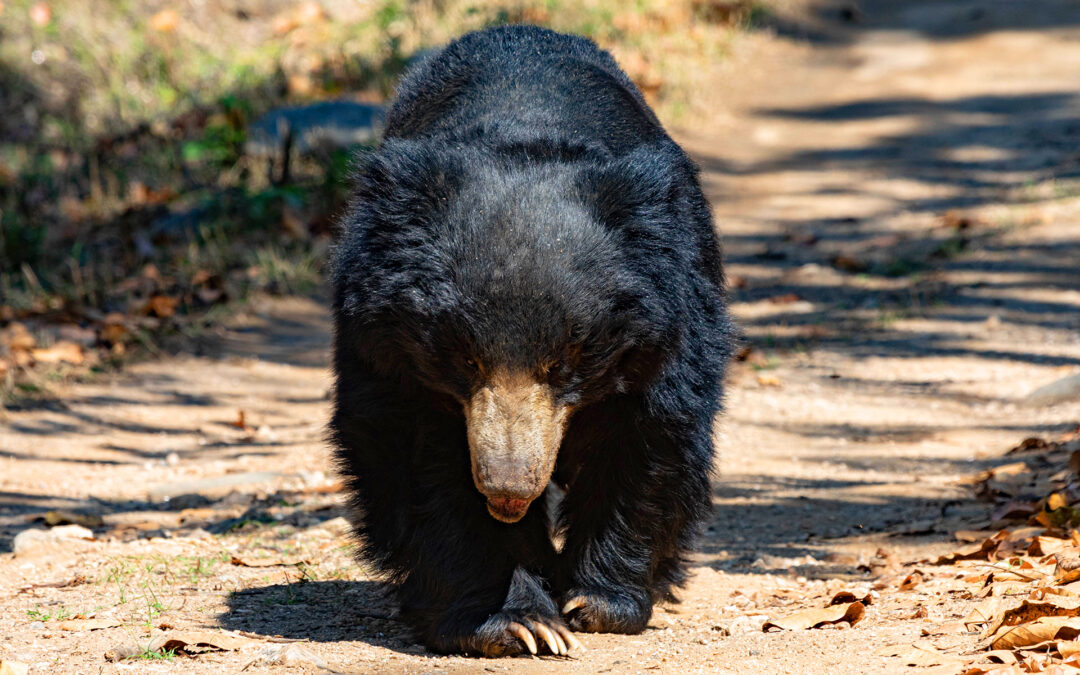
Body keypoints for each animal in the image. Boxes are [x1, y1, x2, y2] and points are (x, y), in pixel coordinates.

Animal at [329, 25, 731, 657]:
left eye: (566, 361)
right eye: (464, 358)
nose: (508, 492)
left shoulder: (671, 315)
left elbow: (649, 436)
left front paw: (595, 603)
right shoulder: (384, 345)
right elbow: (419, 460)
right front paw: (514, 621)